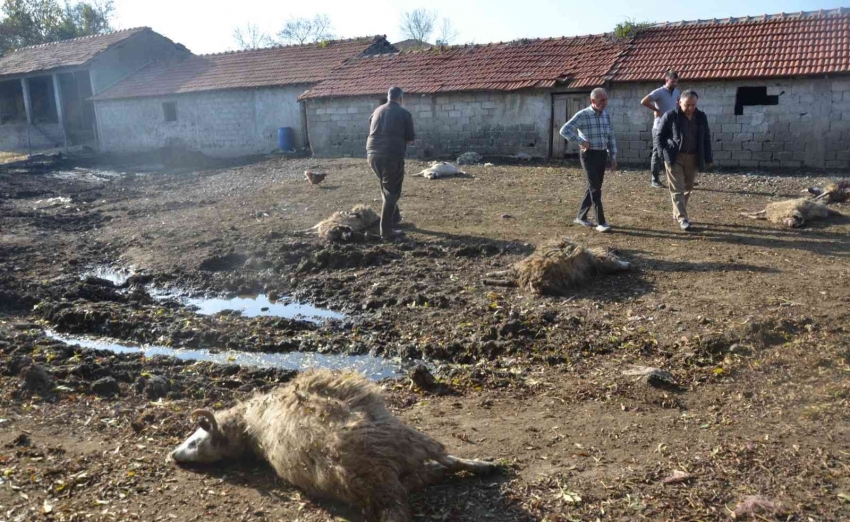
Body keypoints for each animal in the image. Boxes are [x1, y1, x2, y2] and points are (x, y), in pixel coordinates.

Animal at [171, 368, 496, 516]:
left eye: (194, 440)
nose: (172, 456)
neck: (250, 427)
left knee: (439, 463)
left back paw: (484, 465)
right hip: (402, 442)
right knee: (440, 463)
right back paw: (482, 466)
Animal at [484, 238, 628, 294]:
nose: (617, 251)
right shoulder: (602, 261)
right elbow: (614, 263)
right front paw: (626, 264)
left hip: (521, 270)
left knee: (508, 272)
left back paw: (488, 277)